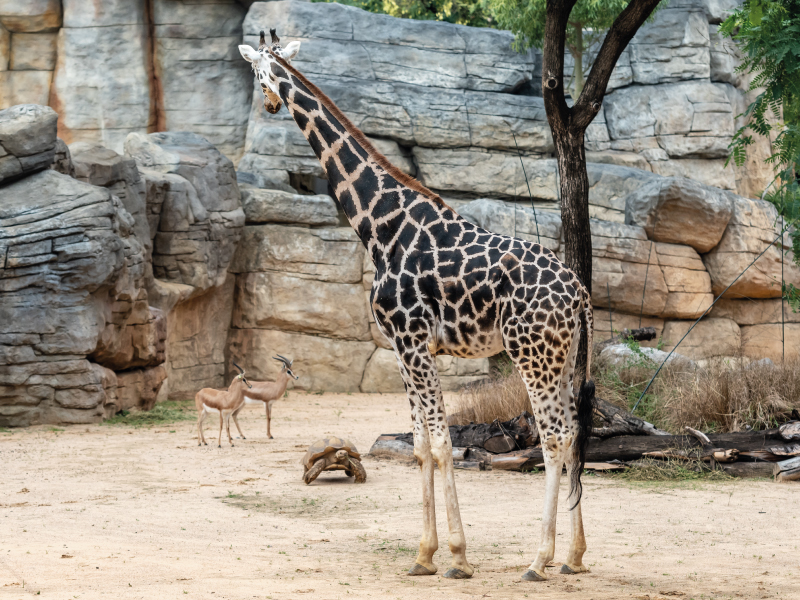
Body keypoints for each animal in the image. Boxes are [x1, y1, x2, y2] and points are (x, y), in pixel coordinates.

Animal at [241, 29, 596, 584]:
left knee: (554, 437)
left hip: (532, 355)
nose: (271, 104)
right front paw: (425, 555)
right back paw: (574, 557)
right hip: (562, 357)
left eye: (258, 75)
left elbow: (441, 443)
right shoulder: (405, 349)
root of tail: (579, 292)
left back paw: (538, 560)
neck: (380, 228)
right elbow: (422, 445)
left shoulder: (411, 342)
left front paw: (457, 557)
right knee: (575, 432)